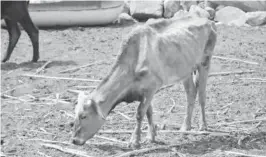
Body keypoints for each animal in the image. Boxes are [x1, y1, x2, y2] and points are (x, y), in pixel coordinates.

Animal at [70, 14, 216, 148]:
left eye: (84, 116)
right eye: (75, 115)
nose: (74, 140)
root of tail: (208, 21)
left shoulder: (152, 87)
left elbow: (140, 113)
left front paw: (134, 141)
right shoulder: (144, 91)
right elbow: (148, 112)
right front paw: (151, 137)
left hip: (205, 62)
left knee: (202, 95)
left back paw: (203, 126)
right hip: (186, 70)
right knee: (191, 93)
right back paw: (186, 126)